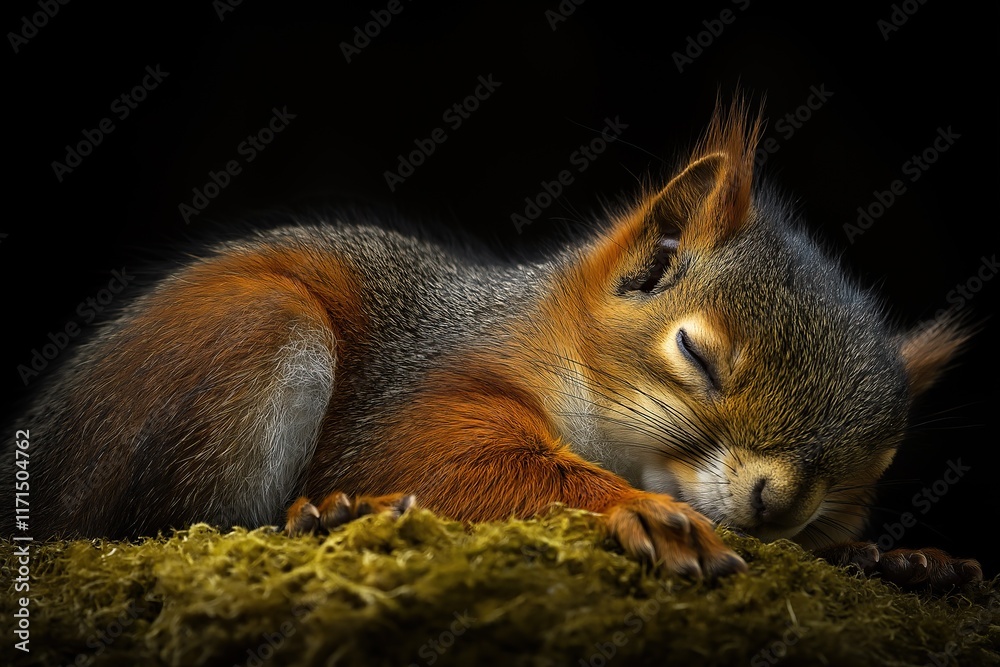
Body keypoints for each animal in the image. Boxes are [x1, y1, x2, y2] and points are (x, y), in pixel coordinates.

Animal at [2, 102, 982, 588]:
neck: (547, 335)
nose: (774, 504)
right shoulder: (429, 382)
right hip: (250, 342)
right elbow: (447, 460)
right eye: (697, 356)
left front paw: (898, 558)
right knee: (160, 523)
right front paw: (645, 513)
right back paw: (331, 515)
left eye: (871, 465)